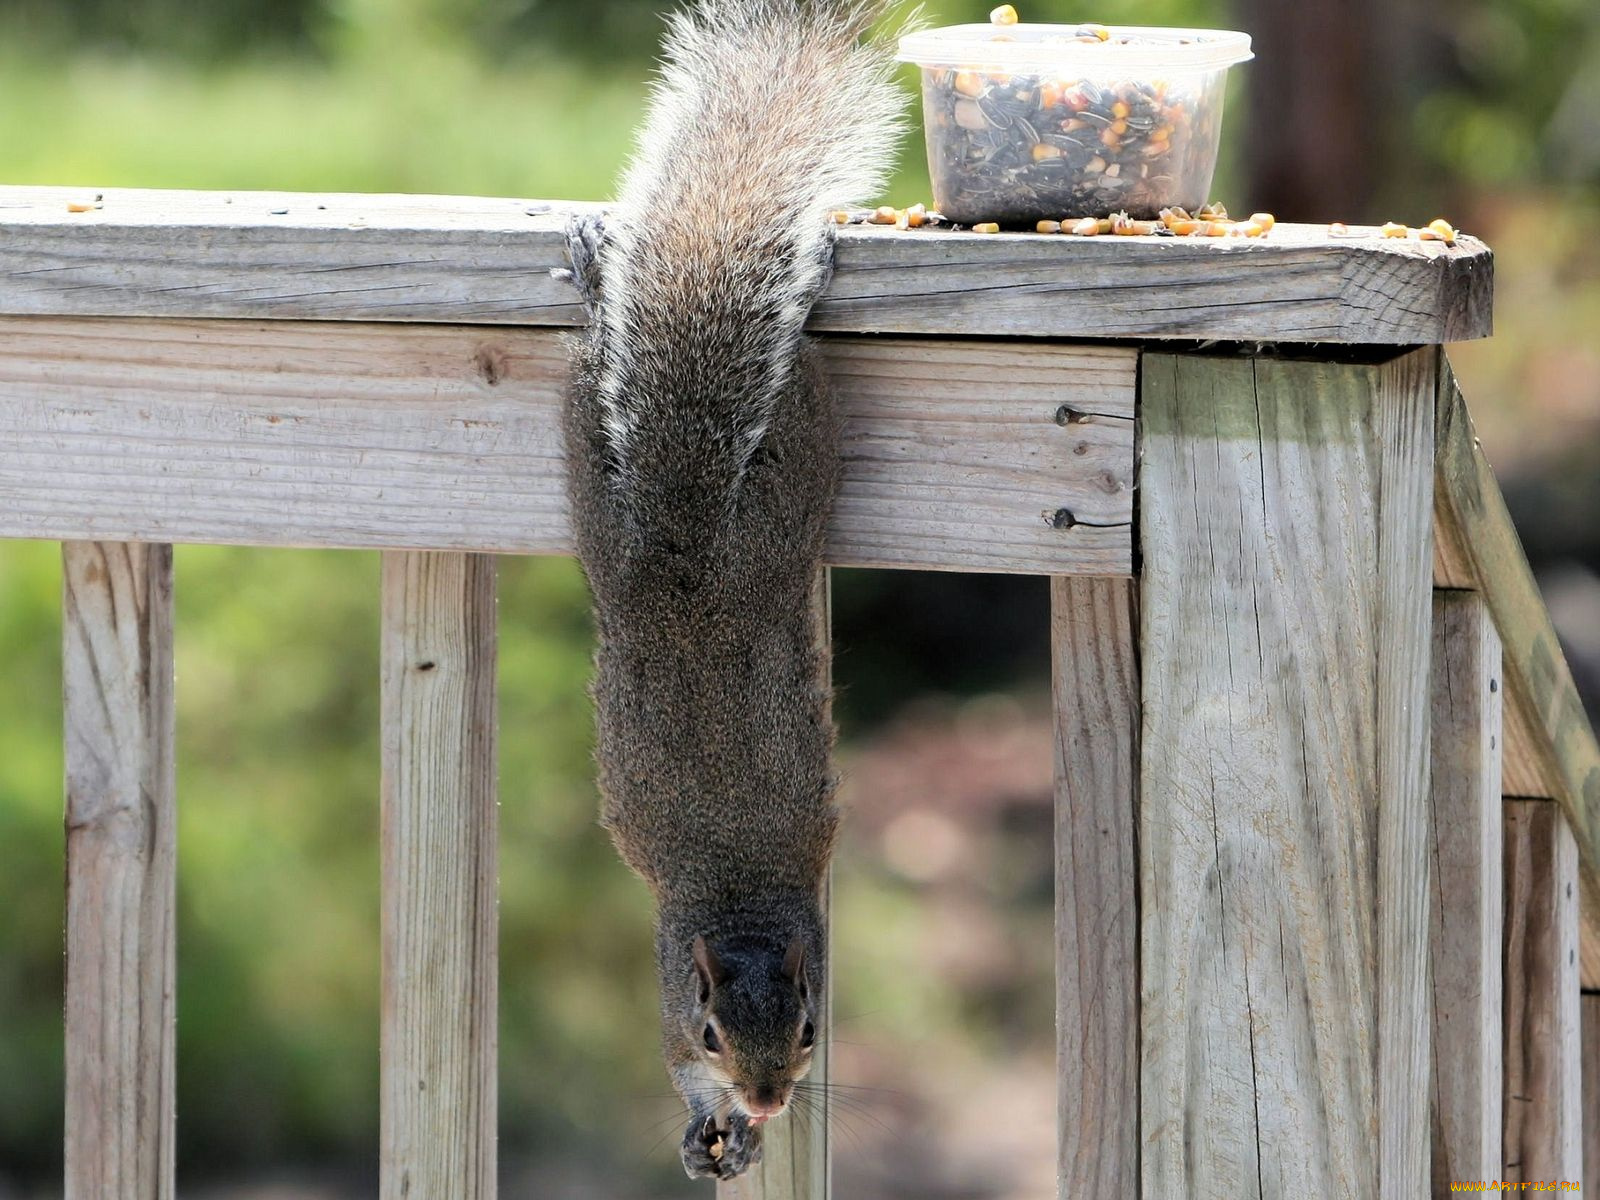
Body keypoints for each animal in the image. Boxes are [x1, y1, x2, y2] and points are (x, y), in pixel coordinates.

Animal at [560, 0, 915, 1190]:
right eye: (715, 1030)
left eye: (810, 1028)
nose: (764, 1099)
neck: (740, 897)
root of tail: (687, 551)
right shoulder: (671, 987)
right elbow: (671, 1071)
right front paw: (705, 1126)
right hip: (682, 480)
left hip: (712, 485)